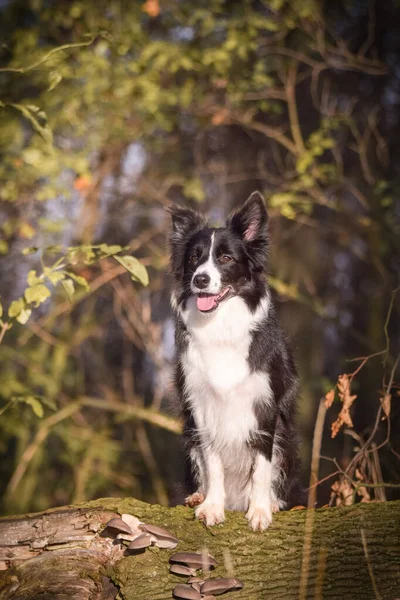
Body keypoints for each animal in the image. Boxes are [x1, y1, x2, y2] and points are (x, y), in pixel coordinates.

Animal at [167, 191, 302, 528]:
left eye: (226, 258)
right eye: (194, 258)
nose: (201, 280)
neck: (220, 324)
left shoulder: (265, 407)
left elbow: (262, 467)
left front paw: (260, 509)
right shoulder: (202, 408)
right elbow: (213, 462)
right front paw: (213, 506)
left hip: (286, 438)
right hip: (189, 436)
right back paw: (198, 496)